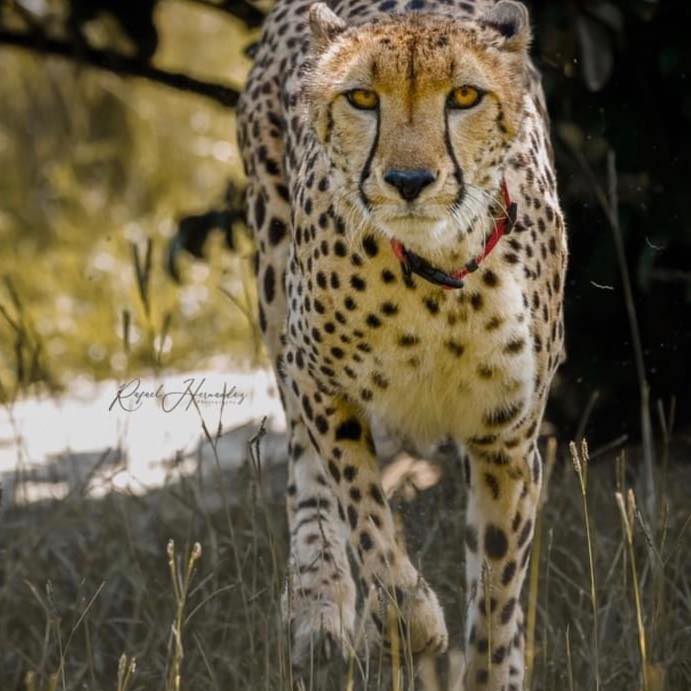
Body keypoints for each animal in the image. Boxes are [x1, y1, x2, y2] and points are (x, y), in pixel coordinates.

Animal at [238, 1, 568, 688]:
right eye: (362, 98)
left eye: (464, 96)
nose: (409, 180)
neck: (432, 273)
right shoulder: (320, 382)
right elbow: (368, 522)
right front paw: (408, 628)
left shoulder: (507, 440)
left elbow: (496, 591)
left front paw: (490, 666)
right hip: (276, 289)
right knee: (305, 474)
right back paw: (321, 607)